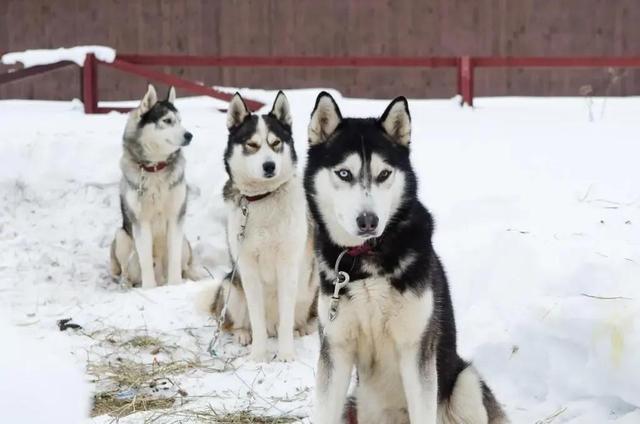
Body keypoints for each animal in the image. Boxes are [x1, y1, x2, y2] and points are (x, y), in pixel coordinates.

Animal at [110, 83, 195, 288]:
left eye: (180, 121)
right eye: (167, 120)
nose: (189, 135)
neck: (155, 168)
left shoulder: (175, 217)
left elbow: (174, 258)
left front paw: (175, 285)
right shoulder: (141, 221)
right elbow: (146, 259)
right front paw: (149, 288)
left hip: (185, 243)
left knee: (185, 264)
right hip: (121, 236)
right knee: (126, 268)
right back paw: (126, 283)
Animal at [202, 92, 318, 362]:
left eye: (275, 143)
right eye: (252, 145)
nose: (269, 166)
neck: (263, 198)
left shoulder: (287, 265)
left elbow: (286, 318)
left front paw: (286, 355)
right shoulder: (247, 268)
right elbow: (256, 319)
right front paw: (258, 356)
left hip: (310, 284)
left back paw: (300, 330)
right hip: (231, 287)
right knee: (235, 323)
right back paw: (244, 335)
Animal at [306, 93, 510, 424]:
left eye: (384, 174)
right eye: (344, 173)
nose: (368, 221)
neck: (367, 261)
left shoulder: (417, 350)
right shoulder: (335, 347)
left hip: (465, 383)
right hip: (354, 404)